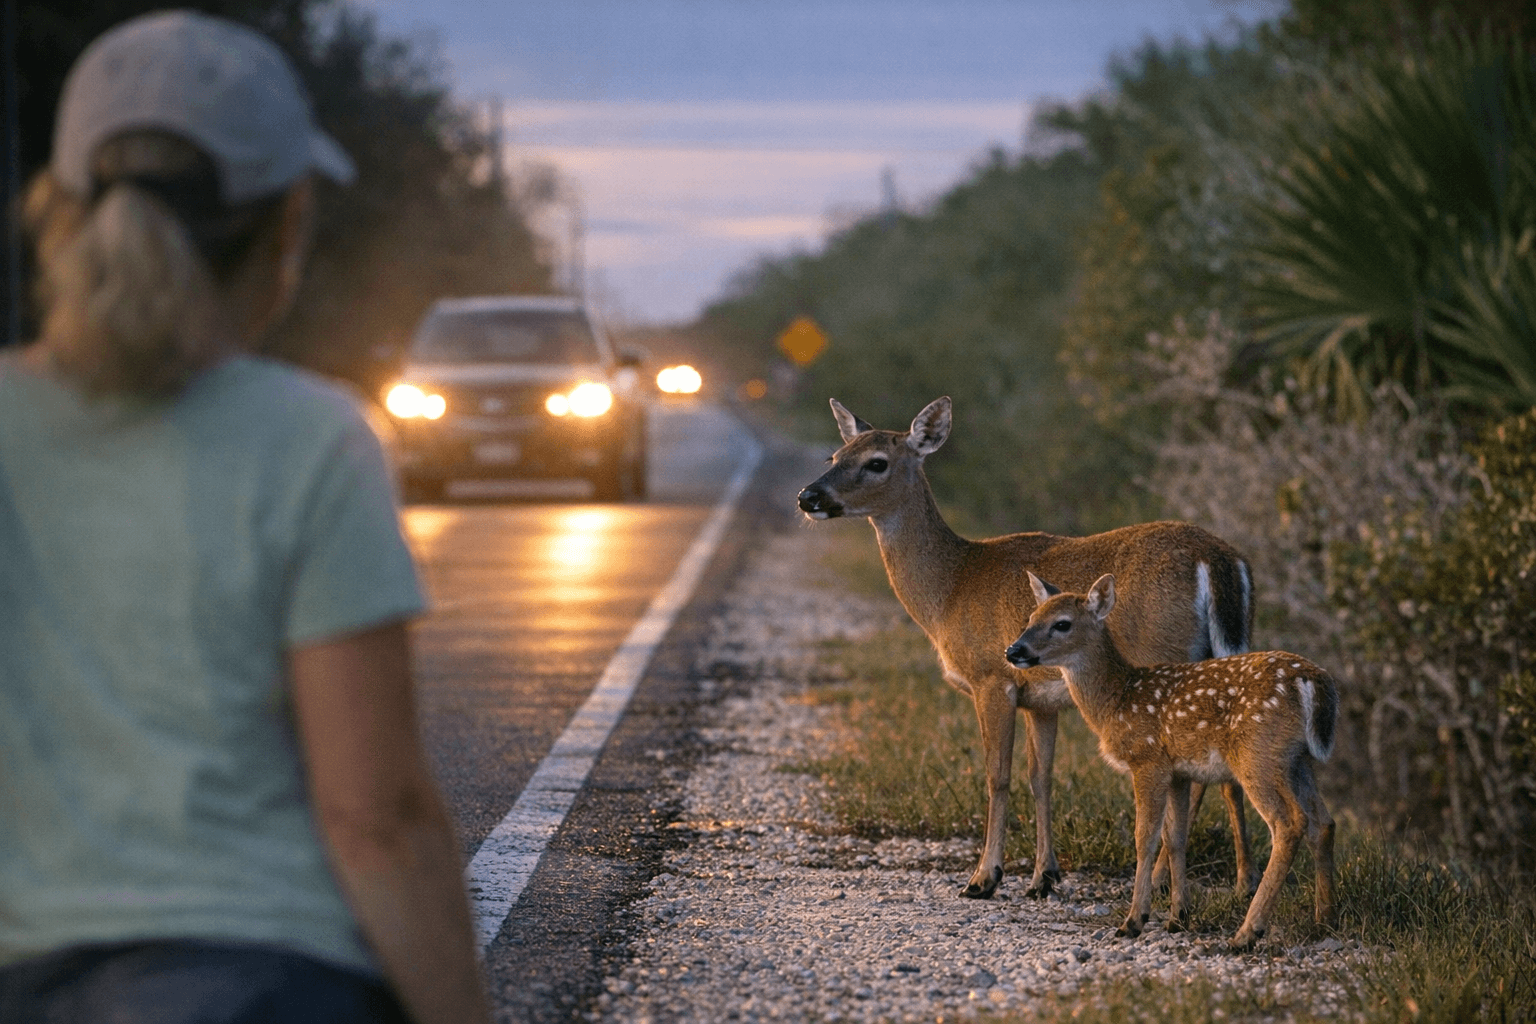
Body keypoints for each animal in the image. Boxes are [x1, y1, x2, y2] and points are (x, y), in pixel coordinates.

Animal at [797, 396, 1258, 900]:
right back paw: (1242, 882)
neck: (950, 589)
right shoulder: (1042, 698)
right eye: (835, 456)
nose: (808, 497)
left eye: (876, 462)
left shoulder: (991, 677)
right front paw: (1044, 877)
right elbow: (1042, 778)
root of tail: (1218, 560)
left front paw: (984, 877)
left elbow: (997, 776)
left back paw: (1171, 883)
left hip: (1167, 657)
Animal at [1006, 572, 1337, 949]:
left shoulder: (1147, 760)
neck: (1116, 702)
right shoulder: (1178, 771)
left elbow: (1145, 837)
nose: (1014, 650)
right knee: (1323, 823)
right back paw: (1325, 921)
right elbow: (1176, 837)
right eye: (1031, 618)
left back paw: (1246, 933)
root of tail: (1315, 682)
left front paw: (1134, 921)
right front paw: (1178, 917)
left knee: (1289, 823)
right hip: (1298, 760)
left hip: (1258, 755)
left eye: (1062, 624)